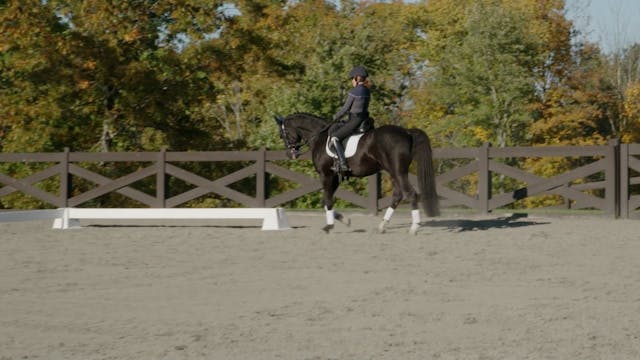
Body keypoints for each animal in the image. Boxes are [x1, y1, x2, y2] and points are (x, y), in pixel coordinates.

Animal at [276, 114, 440, 235]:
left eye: (283, 134)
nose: (290, 154)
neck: (319, 138)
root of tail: (406, 132)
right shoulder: (335, 177)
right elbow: (325, 200)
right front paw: (345, 220)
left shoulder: (326, 174)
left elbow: (327, 200)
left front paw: (329, 226)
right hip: (393, 172)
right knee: (398, 195)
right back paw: (382, 226)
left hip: (398, 171)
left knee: (410, 194)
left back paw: (414, 228)